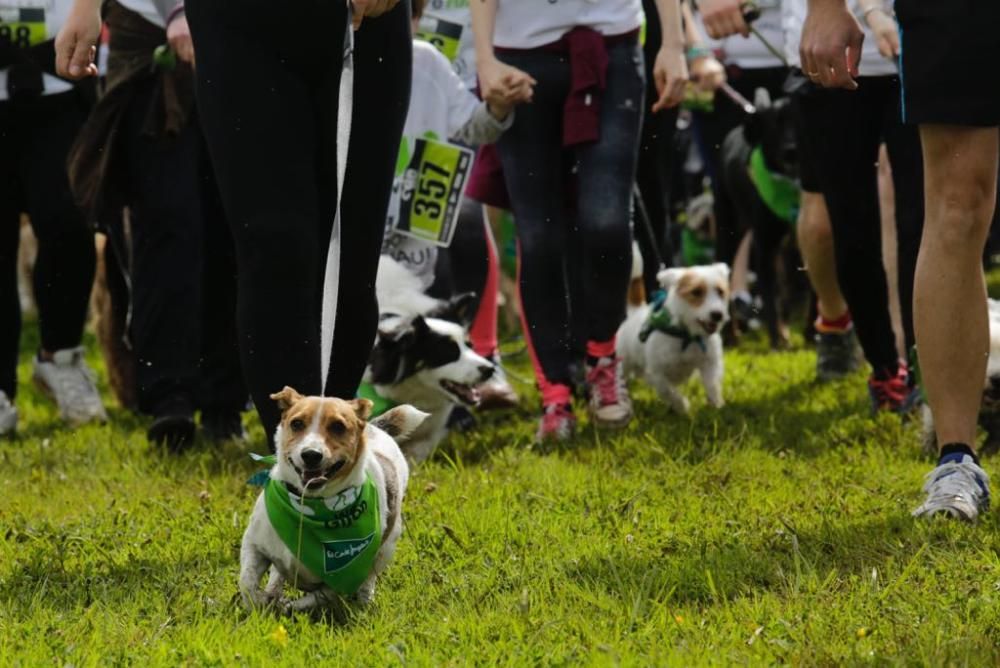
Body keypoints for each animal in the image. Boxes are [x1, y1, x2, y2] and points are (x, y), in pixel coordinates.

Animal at [242, 386, 430, 616]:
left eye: (338, 426)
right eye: (297, 423)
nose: (311, 454)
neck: (308, 506)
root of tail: (375, 428)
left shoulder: (346, 575)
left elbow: (319, 596)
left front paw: (287, 606)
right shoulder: (254, 544)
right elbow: (247, 582)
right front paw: (259, 603)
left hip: (386, 549)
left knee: (369, 580)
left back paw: (364, 603)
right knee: (276, 575)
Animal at [612, 264, 732, 414]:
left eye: (720, 292)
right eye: (696, 292)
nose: (717, 315)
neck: (687, 336)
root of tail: (636, 311)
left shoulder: (710, 362)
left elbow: (712, 383)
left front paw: (716, 404)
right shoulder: (656, 373)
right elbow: (668, 391)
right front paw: (682, 406)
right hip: (624, 363)